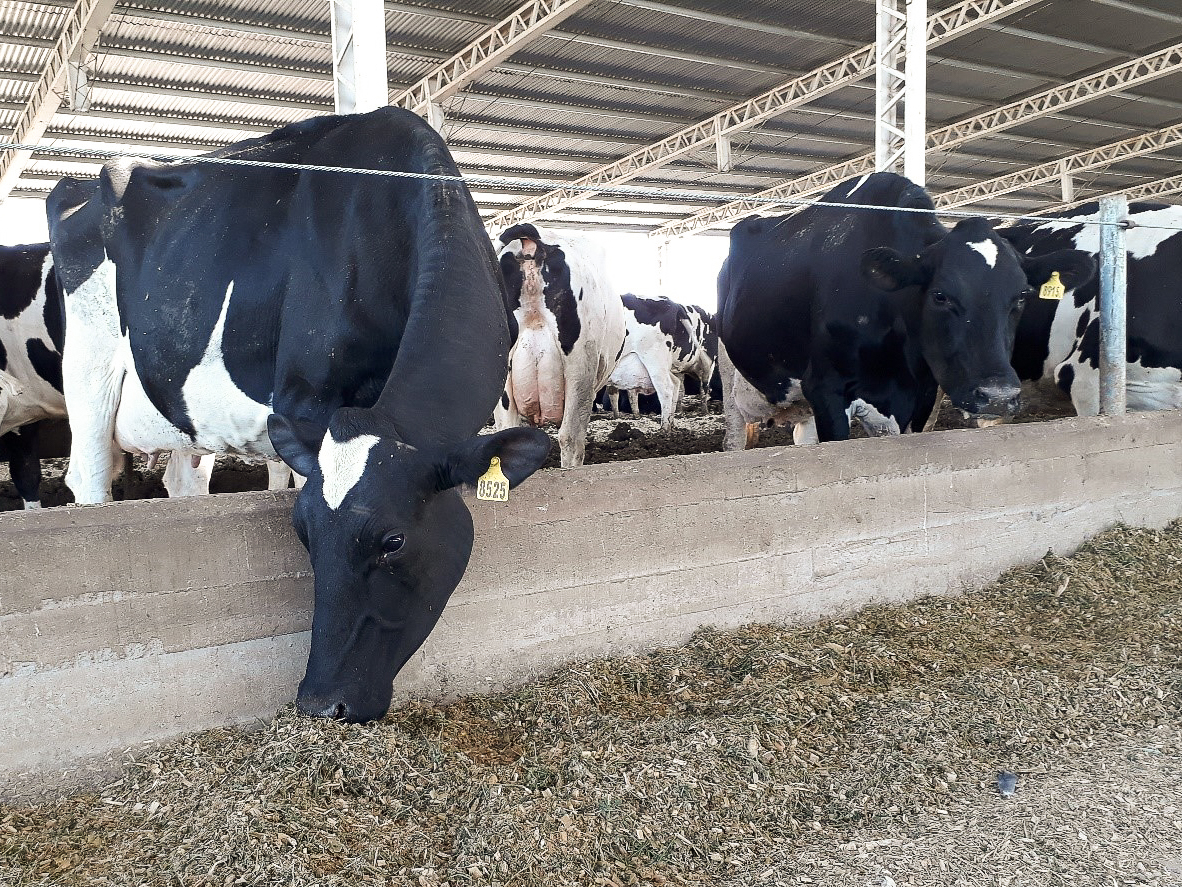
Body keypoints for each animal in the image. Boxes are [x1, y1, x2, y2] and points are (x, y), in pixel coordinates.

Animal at [48, 107, 555, 723]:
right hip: (88, 371)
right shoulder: (301, 393)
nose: (319, 702)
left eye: (393, 542)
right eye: (303, 532)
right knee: (89, 477)